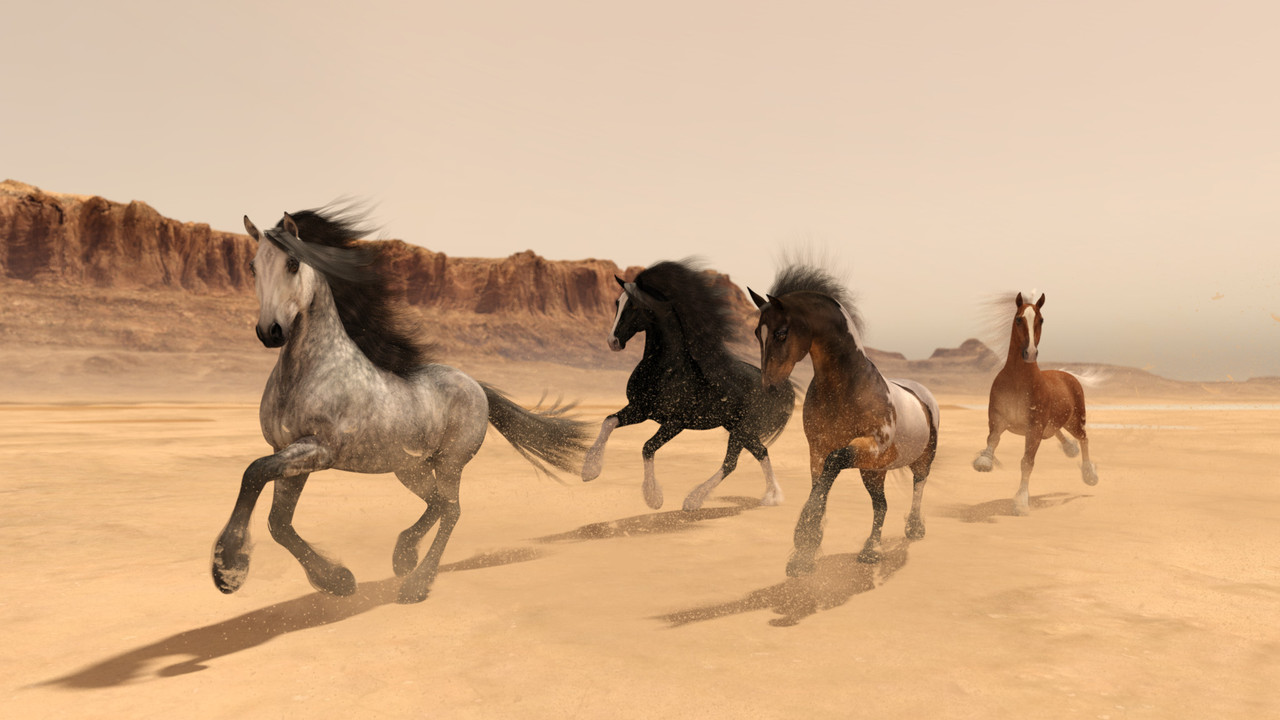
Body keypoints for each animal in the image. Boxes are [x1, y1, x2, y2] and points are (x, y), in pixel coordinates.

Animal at [211, 207, 589, 604]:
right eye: (253, 266)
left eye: (293, 263)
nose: (270, 332)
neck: (309, 371)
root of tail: (476, 386)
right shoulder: (287, 451)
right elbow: (278, 523)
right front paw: (337, 580)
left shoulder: (319, 449)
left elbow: (253, 473)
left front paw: (228, 568)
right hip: (410, 468)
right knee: (437, 503)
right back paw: (403, 556)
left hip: (450, 462)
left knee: (452, 511)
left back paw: (416, 584)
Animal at [580, 260, 795, 512]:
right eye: (617, 302)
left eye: (634, 305)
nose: (613, 342)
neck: (666, 369)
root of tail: (778, 386)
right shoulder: (640, 409)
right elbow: (608, 421)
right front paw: (590, 470)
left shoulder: (676, 422)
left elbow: (647, 447)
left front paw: (653, 498)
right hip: (738, 428)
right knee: (761, 452)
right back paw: (772, 497)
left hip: (742, 429)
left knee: (731, 462)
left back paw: (693, 500)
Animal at [749, 264, 940, 577]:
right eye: (756, 333)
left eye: (781, 332)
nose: (769, 388)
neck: (843, 388)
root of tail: (922, 393)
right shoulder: (817, 450)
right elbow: (821, 485)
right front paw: (803, 558)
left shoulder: (868, 445)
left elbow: (834, 463)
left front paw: (804, 538)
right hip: (874, 472)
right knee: (881, 505)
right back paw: (871, 551)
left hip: (919, 461)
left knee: (918, 486)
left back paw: (914, 529)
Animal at [972, 292, 1098, 515]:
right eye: (1018, 319)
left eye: (1041, 320)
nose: (1029, 353)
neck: (1017, 383)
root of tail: (1068, 375)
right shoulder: (997, 419)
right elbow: (992, 440)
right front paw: (984, 462)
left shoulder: (1034, 428)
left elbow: (1027, 462)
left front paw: (1021, 502)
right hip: (1054, 423)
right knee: (1058, 431)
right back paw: (1070, 449)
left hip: (1074, 421)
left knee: (1084, 438)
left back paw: (1089, 474)